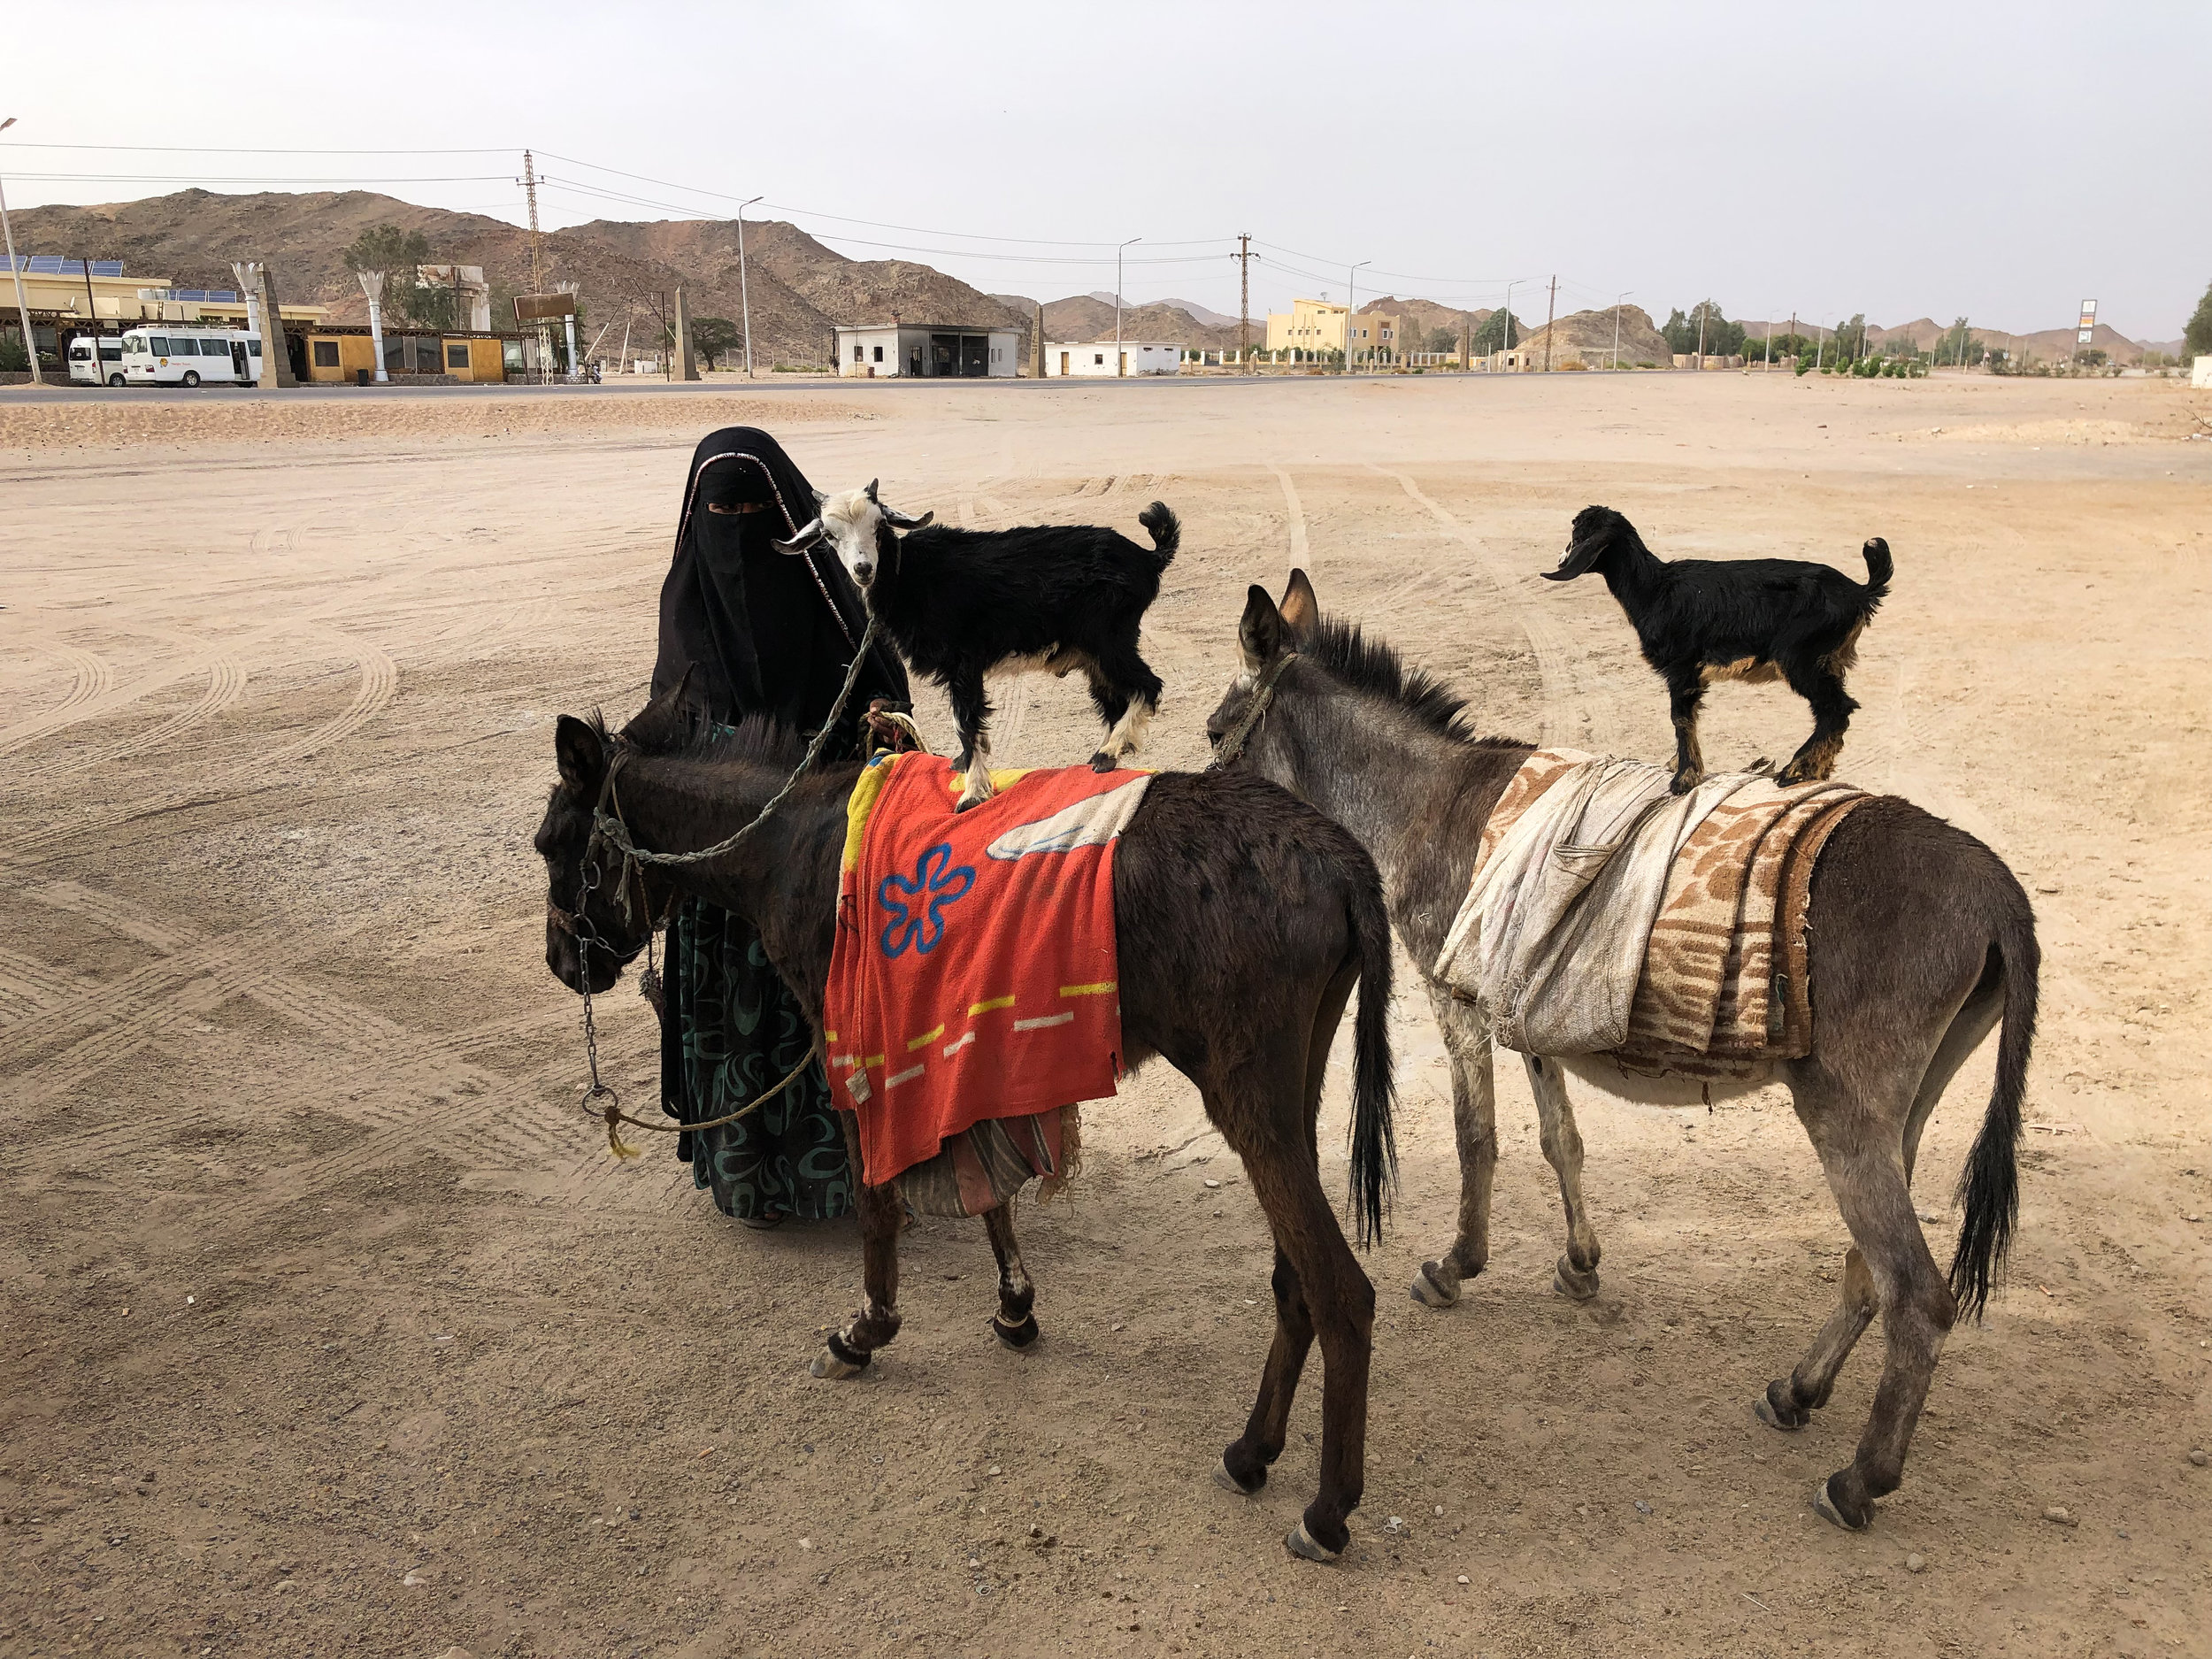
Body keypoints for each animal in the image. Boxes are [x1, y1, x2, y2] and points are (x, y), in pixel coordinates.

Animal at [787, 480, 1186, 814]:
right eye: (829, 535)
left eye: (879, 527)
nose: (863, 569)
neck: (911, 575)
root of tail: (1148, 557)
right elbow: (963, 721)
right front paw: (965, 765)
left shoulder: (963, 661)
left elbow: (965, 720)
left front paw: (972, 793)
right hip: (1093, 655)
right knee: (1114, 701)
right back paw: (1108, 755)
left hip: (1109, 639)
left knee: (1147, 685)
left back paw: (1109, 752)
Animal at [1548, 504, 1893, 796]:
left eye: (1578, 536)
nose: (1561, 560)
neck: (1655, 589)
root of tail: (1860, 592)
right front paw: (1677, 766)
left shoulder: (1682, 667)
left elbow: (1680, 719)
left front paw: (1683, 778)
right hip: (1826, 661)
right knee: (1837, 712)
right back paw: (1817, 771)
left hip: (1801, 659)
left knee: (1835, 708)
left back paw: (1794, 770)